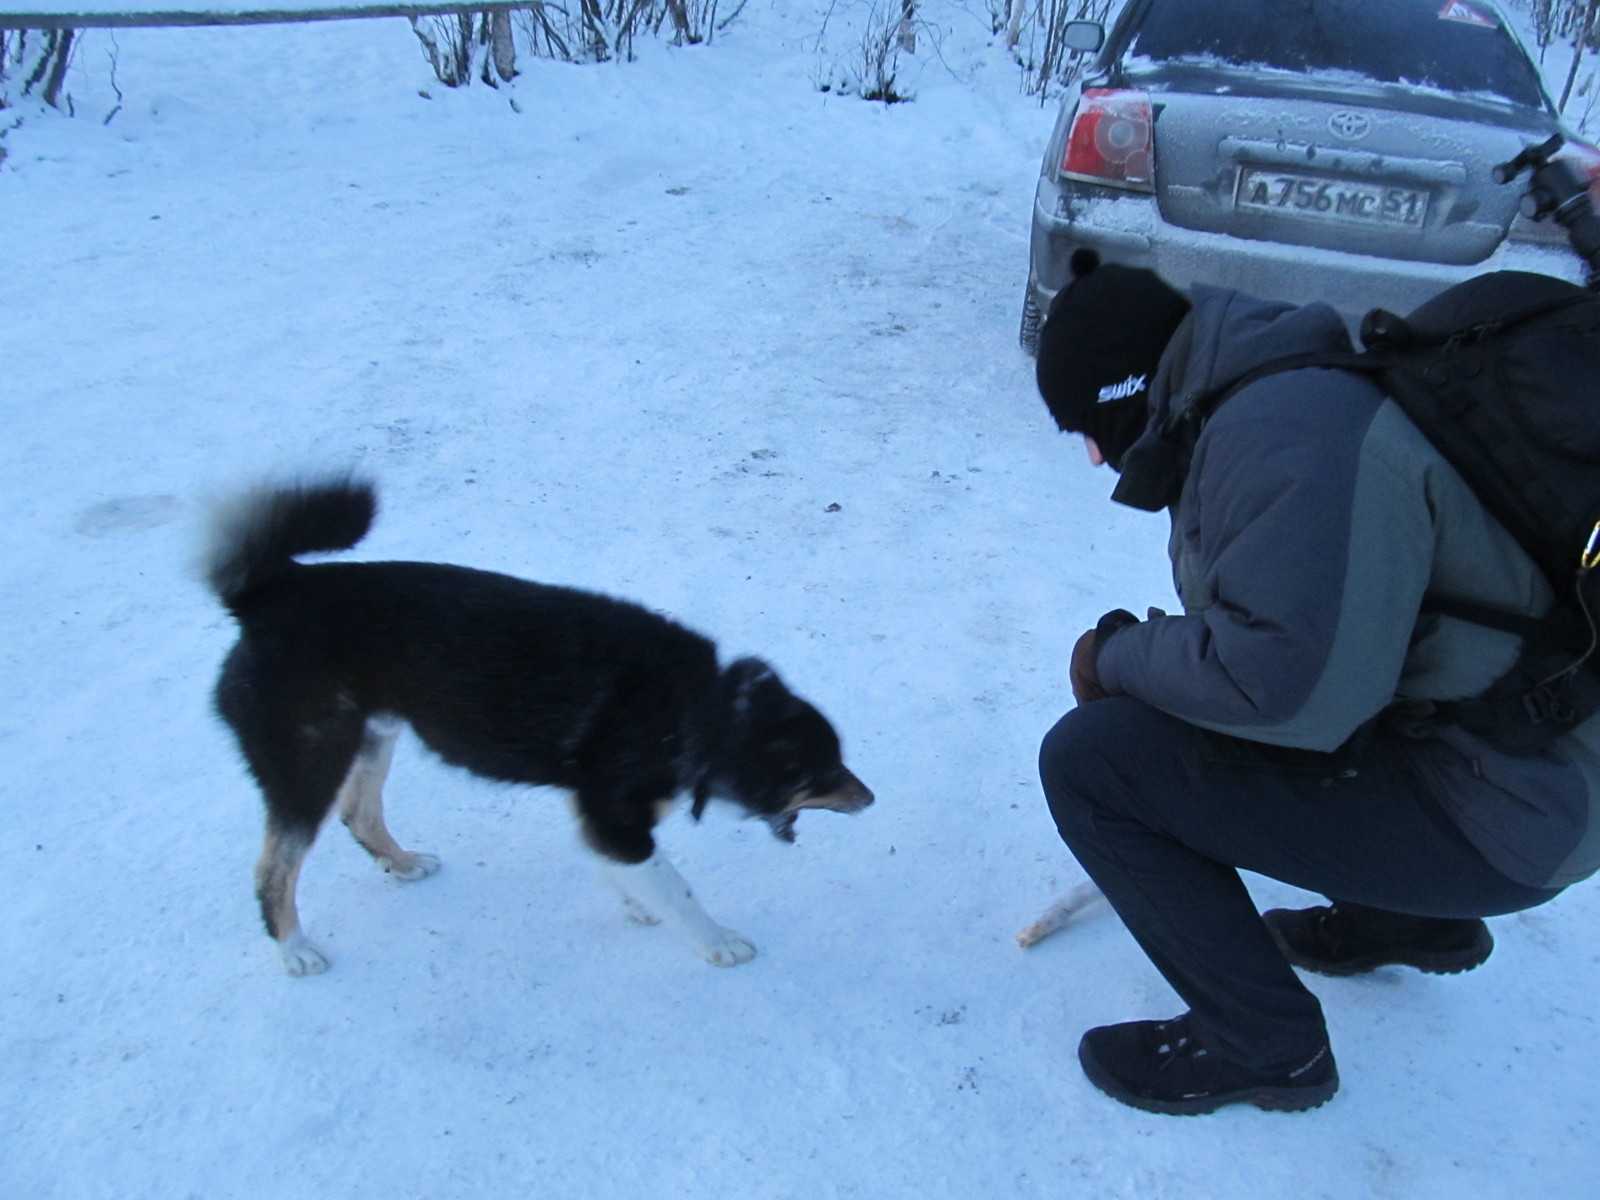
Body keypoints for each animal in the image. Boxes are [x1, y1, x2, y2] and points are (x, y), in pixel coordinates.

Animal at [208, 480, 876, 979]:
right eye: (820, 770)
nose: (869, 798)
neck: (706, 709)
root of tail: (270, 593)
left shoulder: (601, 815)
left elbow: (633, 872)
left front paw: (637, 904)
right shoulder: (613, 813)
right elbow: (676, 887)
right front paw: (718, 940)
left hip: (374, 736)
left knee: (360, 814)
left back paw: (402, 865)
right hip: (310, 761)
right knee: (273, 869)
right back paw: (295, 950)